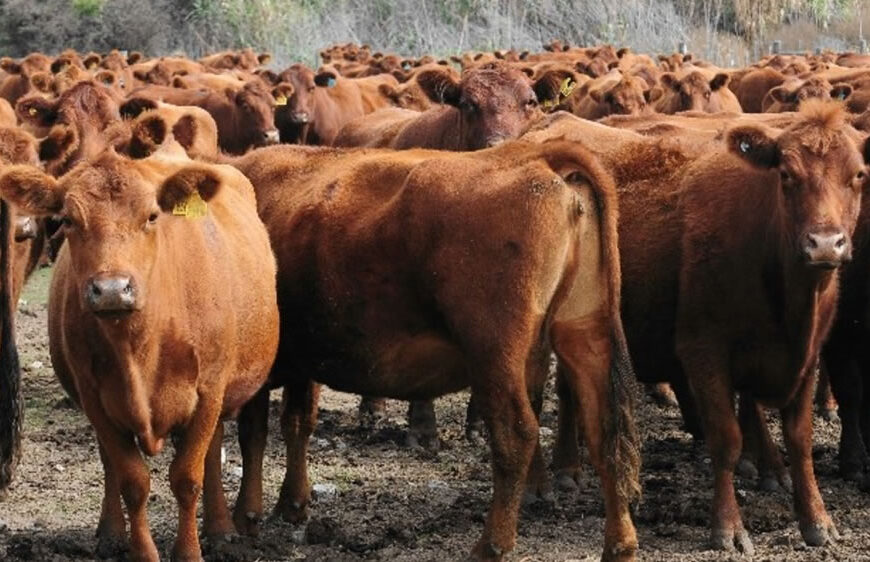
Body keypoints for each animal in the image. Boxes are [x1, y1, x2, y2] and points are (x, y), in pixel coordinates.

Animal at [228, 138, 644, 556]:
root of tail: (536, 155)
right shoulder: (303, 362)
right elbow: (298, 423)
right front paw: (292, 505)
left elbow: (254, 434)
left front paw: (246, 517)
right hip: (583, 333)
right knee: (606, 433)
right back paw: (620, 545)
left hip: (494, 353)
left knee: (516, 435)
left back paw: (490, 546)